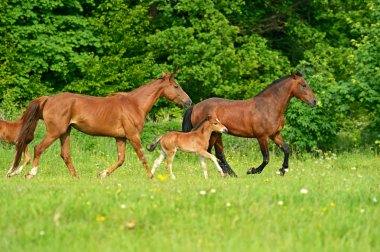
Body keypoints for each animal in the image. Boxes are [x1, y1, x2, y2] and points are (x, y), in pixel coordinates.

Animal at [8, 72, 191, 179]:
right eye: (176, 86)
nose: (188, 102)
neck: (135, 104)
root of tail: (48, 99)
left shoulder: (120, 137)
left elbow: (121, 160)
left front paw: (102, 174)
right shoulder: (133, 135)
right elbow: (142, 156)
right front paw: (151, 177)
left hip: (65, 132)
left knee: (65, 154)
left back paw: (76, 178)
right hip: (55, 131)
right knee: (38, 148)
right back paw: (29, 173)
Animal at [182, 72, 318, 176]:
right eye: (304, 85)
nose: (315, 101)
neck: (269, 106)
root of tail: (195, 107)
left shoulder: (275, 135)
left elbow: (286, 149)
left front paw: (282, 170)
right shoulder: (262, 137)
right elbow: (266, 158)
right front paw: (252, 170)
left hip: (218, 133)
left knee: (219, 154)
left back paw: (232, 174)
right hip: (213, 134)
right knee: (210, 153)